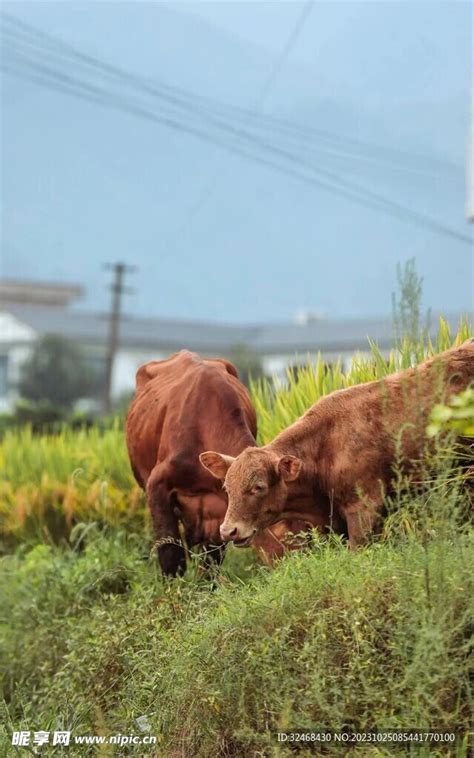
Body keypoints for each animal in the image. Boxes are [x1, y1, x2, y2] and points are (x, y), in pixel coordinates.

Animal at [125, 352, 326, 576]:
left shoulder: (220, 514)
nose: (303, 571)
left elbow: (210, 565)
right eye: (286, 536)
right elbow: (171, 556)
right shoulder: (157, 487)